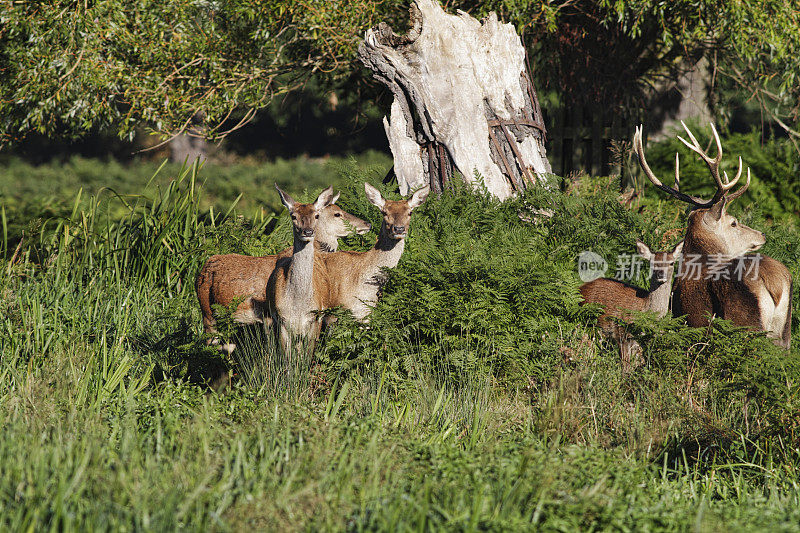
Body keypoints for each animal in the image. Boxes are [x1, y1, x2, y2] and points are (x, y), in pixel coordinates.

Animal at [580, 240, 684, 368]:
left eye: (671, 263)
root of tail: (581, 289)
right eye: (652, 263)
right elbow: (626, 364)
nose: (661, 274)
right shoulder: (621, 331)